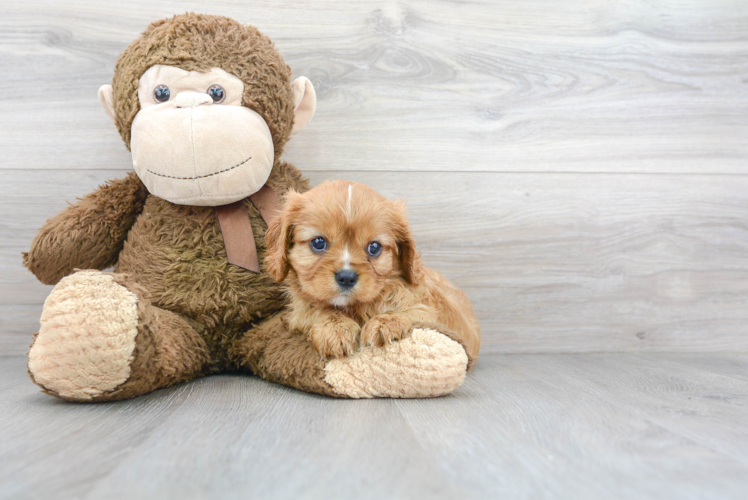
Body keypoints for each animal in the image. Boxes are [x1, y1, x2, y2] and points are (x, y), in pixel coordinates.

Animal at [266, 180, 482, 368]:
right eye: (318, 243)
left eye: (374, 247)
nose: (346, 277)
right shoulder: (300, 311)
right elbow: (316, 310)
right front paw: (335, 329)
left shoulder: (428, 311)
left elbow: (411, 312)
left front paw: (384, 323)